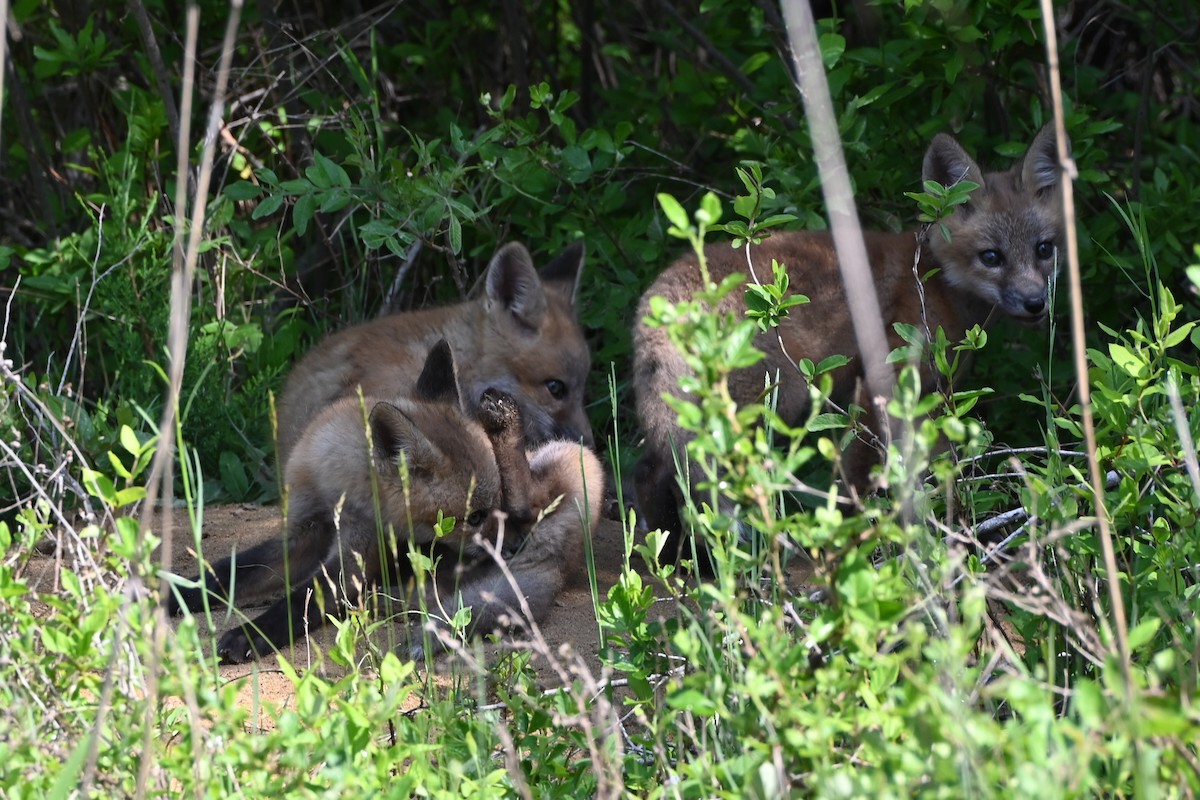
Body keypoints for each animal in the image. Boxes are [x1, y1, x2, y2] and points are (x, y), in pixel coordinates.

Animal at [169, 340, 605, 664]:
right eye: (475, 517)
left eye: (495, 510)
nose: (514, 546)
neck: (337, 486)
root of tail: (563, 561)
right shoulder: (303, 532)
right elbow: (231, 570)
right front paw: (176, 593)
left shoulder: (353, 559)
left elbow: (297, 603)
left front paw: (248, 635)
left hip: (575, 461)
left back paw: (505, 427)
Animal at [632, 125, 1066, 551]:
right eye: (991, 257)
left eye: (1044, 249)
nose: (1035, 303)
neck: (933, 281)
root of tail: (662, 295)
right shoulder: (880, 383)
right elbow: (857, 478)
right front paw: (849, 537)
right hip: (772, 400)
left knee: (652, 474)